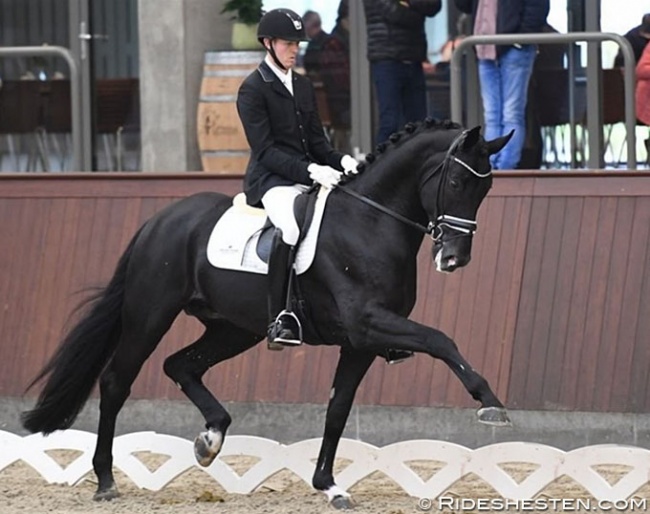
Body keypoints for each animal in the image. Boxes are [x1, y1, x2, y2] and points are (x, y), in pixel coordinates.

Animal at [22, 120, 512, 508]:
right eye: (456, 183)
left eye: (485, 190)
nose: (455, 259)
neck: (370, 222)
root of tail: (159, 221)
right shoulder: (368, 324)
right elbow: (440, 339)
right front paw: (490, 403)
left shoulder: (360, 343)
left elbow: (338, 408)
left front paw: (329, 485)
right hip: (150, 316)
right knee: (116, 382)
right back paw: (105, 480)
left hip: (234, 329)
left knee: (180, 365)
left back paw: (210, 441)